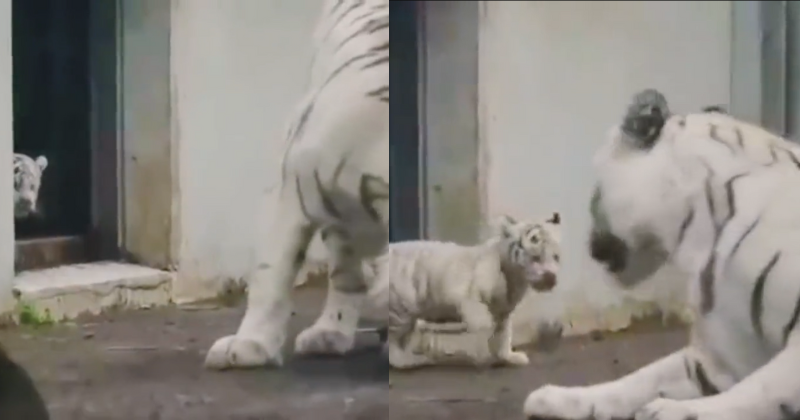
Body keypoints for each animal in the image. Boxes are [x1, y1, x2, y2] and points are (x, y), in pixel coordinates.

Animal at [376, 215, 560, 370]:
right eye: (535, 256)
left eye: (556, 257)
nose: (551, 278)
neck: (515, 278)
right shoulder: (469, 299)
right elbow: (484, 325)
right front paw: (482, 356)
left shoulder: (504, 310)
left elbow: (504, 334)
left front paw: (508, 357)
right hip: (400, 309)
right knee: (393, 347)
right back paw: (414, 360)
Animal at [520, 89, 800, 420]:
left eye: (594, 194)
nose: (588, 247)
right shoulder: (724, 354)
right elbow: (641, 378)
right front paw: (554, 400)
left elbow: (761, 388)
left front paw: (671, 411)